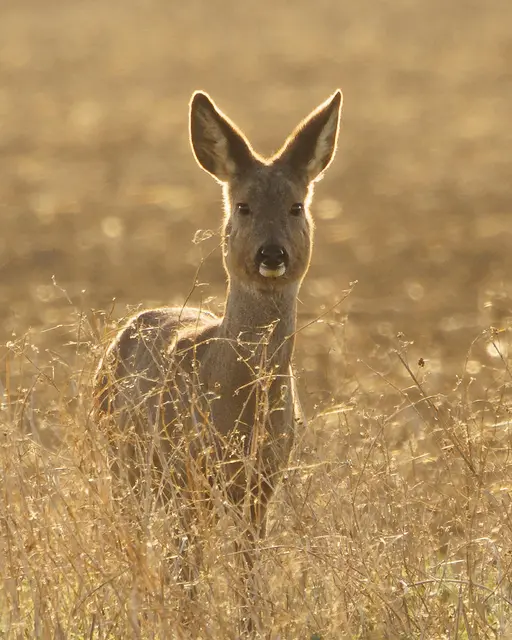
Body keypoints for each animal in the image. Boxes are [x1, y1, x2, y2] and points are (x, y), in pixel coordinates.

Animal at [94, 88, 342, 625]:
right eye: (243, 205)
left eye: (296, 205)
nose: (272, 254)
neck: (236, 406)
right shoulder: (190, 472)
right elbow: (189, 570)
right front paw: (187, 620)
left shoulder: (263, 481)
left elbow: (248, 570)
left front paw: (252, 622)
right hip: (121, 459)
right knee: (136, 538)